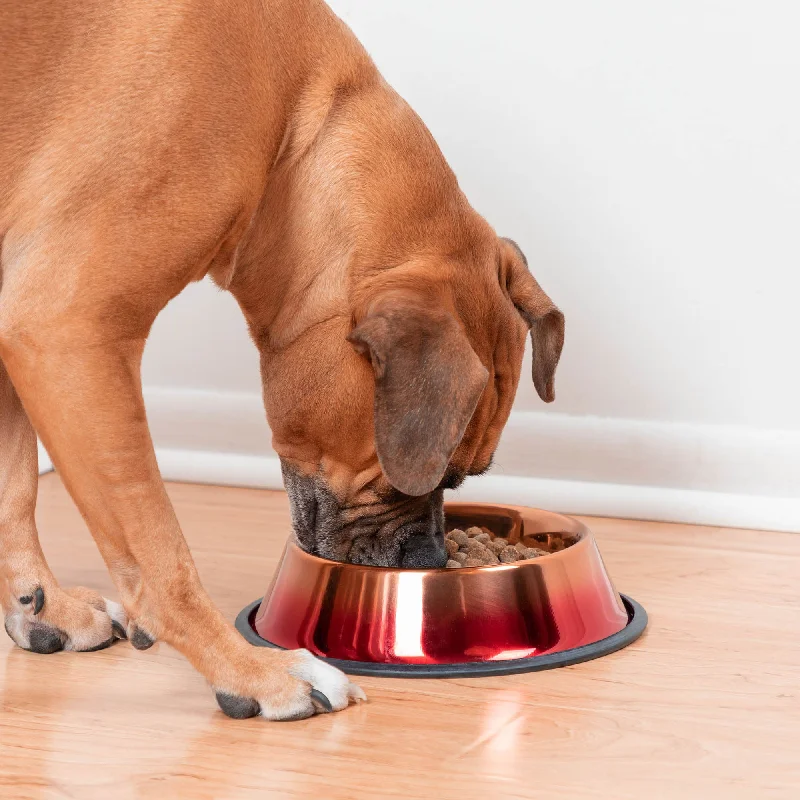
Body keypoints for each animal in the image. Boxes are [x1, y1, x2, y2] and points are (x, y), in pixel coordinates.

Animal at [0, 0, 564, 720]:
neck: (294, 135)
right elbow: (160, 555)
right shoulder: (65, 330)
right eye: (435, 476)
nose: (434, 557)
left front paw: (39, 604)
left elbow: (14, 490)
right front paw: (251, 672)